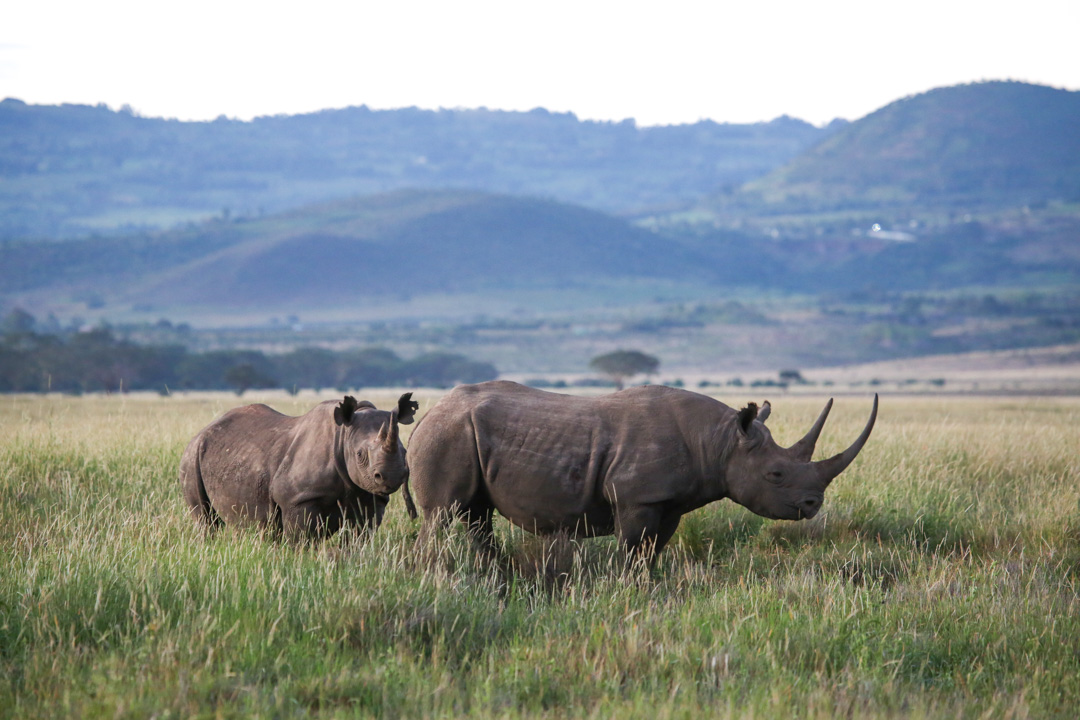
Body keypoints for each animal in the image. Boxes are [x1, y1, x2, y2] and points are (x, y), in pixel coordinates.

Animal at [181, 390, 416, 537]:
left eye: (405, 452)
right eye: (359, 454)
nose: (391, 476)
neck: (343, 435)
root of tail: (201, 432)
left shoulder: (370, 497)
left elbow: (358, 538)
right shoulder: (298, 498)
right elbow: (301, 539)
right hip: (191, 457)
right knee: (205, 520)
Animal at [406, 382, 876, 561]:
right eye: (776, 475)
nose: (813, 504)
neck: (721, 441)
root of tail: (430, 412)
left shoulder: (669, 503)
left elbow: (652, 552)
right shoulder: (636, 498)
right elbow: (633, 551)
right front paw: (628, 592)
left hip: (461, 433)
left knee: (476, 514)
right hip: (448, 434)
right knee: (442, 513)